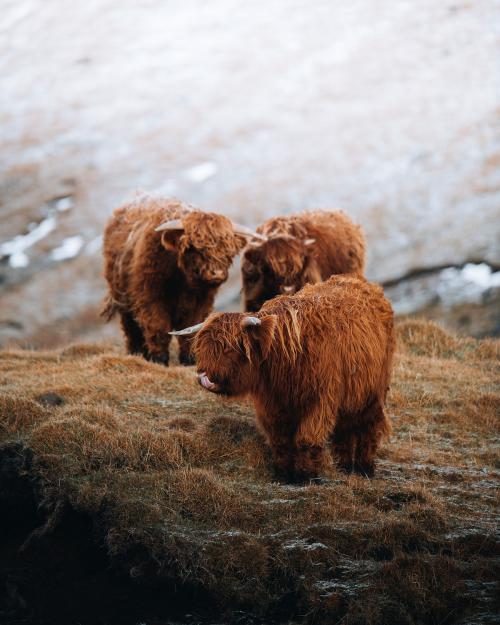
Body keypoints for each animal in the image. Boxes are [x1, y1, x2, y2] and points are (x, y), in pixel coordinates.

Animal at [101, 197, 258, 366]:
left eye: (228, 250)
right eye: (194, 248)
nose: (216, 273)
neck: (183, 281)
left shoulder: (201, 302)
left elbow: (191, 327)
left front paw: (189, 359)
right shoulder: (149, 296)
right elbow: (158, 327)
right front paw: (159, 359)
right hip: (122, 297)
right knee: (131, 326)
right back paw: (136, 353)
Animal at [171, 276, 394, 486]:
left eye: (229, 348)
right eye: (202, 347)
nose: (204, 378)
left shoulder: (320, 400)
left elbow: (307, 438)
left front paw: (306, 476)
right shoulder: (271, 404)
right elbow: (280, 440)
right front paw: (283, 474)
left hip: (374, 393)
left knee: (370, 426)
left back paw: (364, 469)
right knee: (345, 429)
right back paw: (345, 467)